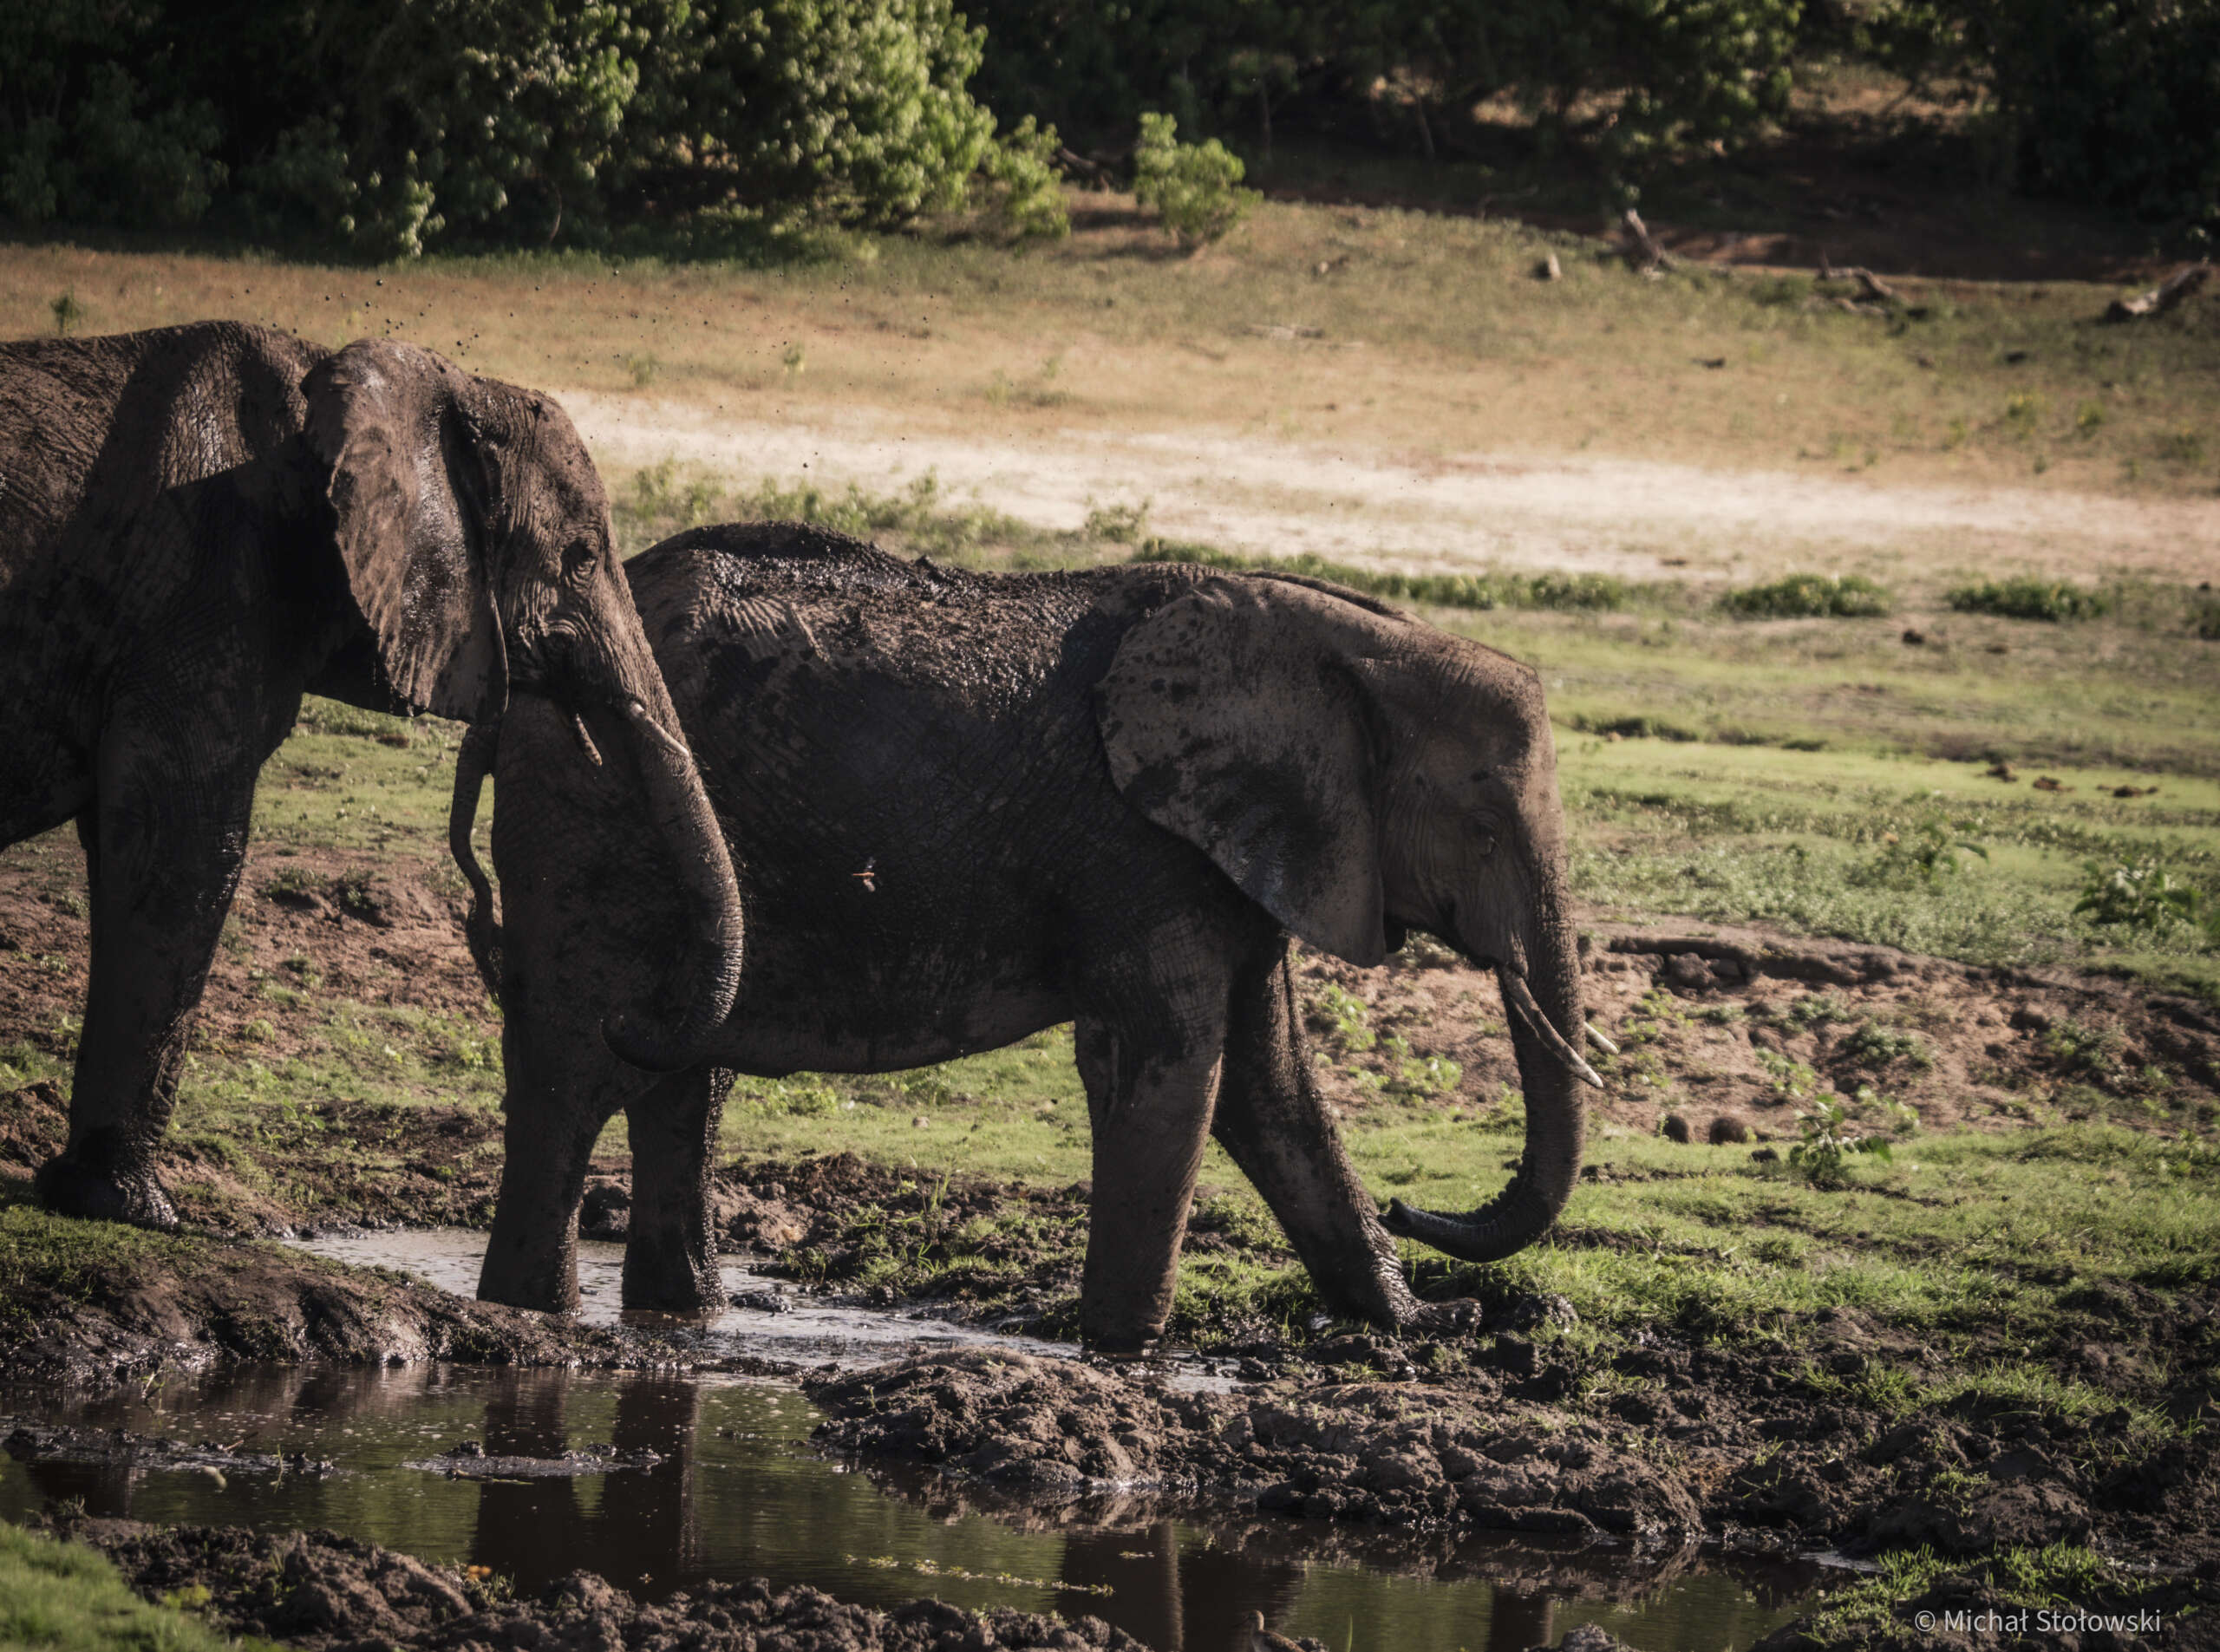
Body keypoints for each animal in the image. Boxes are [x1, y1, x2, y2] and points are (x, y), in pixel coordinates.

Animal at [460, 520, 1597, 1351]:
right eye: (1483, 828)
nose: (1416, 1206)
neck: (1342, 639)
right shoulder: (1144, 845)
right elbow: (1180, 1067)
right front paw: (1128, 1353)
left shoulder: (1239, 846)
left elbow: (1268, 1085)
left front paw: (1426, 1325)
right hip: (587, 806)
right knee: (571, 1072)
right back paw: (528, 1317)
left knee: (679, 1080)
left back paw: (680, 1315)